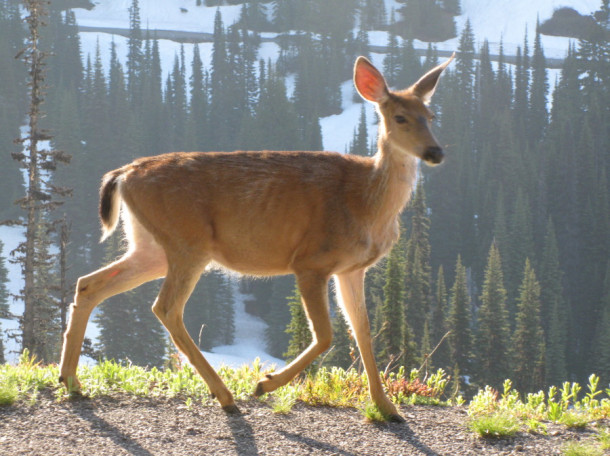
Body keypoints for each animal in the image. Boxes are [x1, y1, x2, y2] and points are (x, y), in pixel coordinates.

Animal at [59, 52, 454, 420]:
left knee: (89, 283)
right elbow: (326, 334)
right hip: (188, 241)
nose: (436, 152)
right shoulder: (311, 260)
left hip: (151, 246)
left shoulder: (353, 268)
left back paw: (71, 380)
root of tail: (123, 174)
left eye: (431, 116)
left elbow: (363, 331)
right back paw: (226, 396)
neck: (368, 203)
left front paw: (388, 408)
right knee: (166, 307)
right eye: (399, 117)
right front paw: (265, 383)